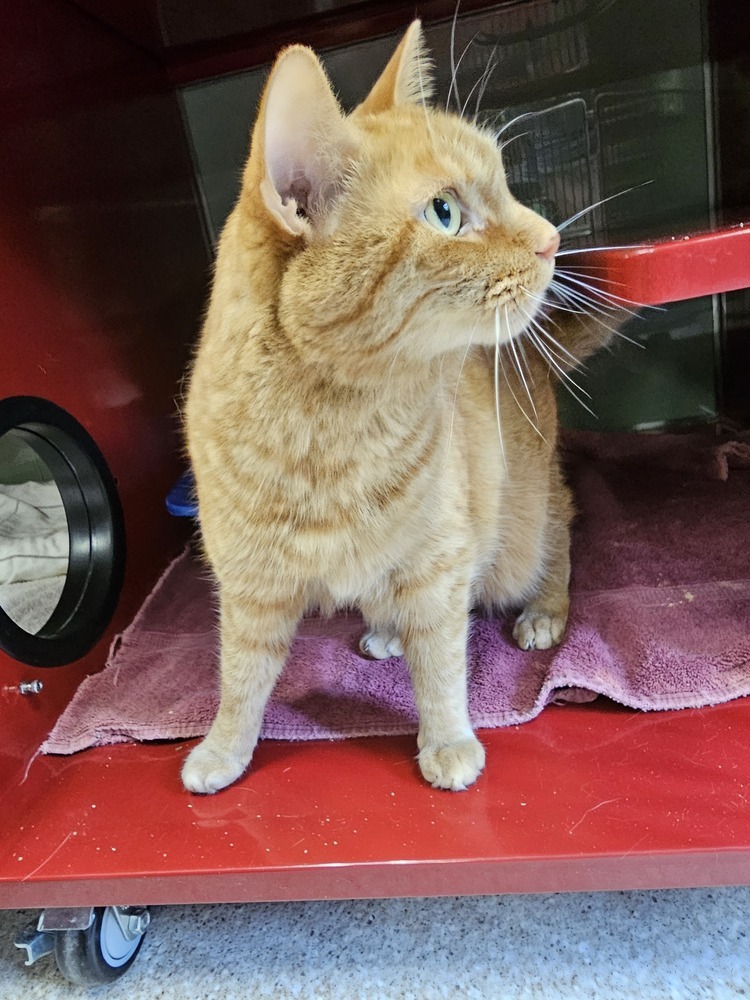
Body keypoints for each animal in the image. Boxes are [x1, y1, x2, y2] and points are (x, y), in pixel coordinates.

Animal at [184, 19, 616, 792]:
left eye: (504, 182)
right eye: (444, 212)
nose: (552, 240)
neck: (327, 427)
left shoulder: (440, 562)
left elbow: (441, 666)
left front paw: (447, 742)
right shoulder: (249, 586)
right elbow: (239, 678)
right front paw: (223, 749)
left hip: (523, 521)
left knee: (560, 529)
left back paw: (544, 609)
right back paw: (385, 629)